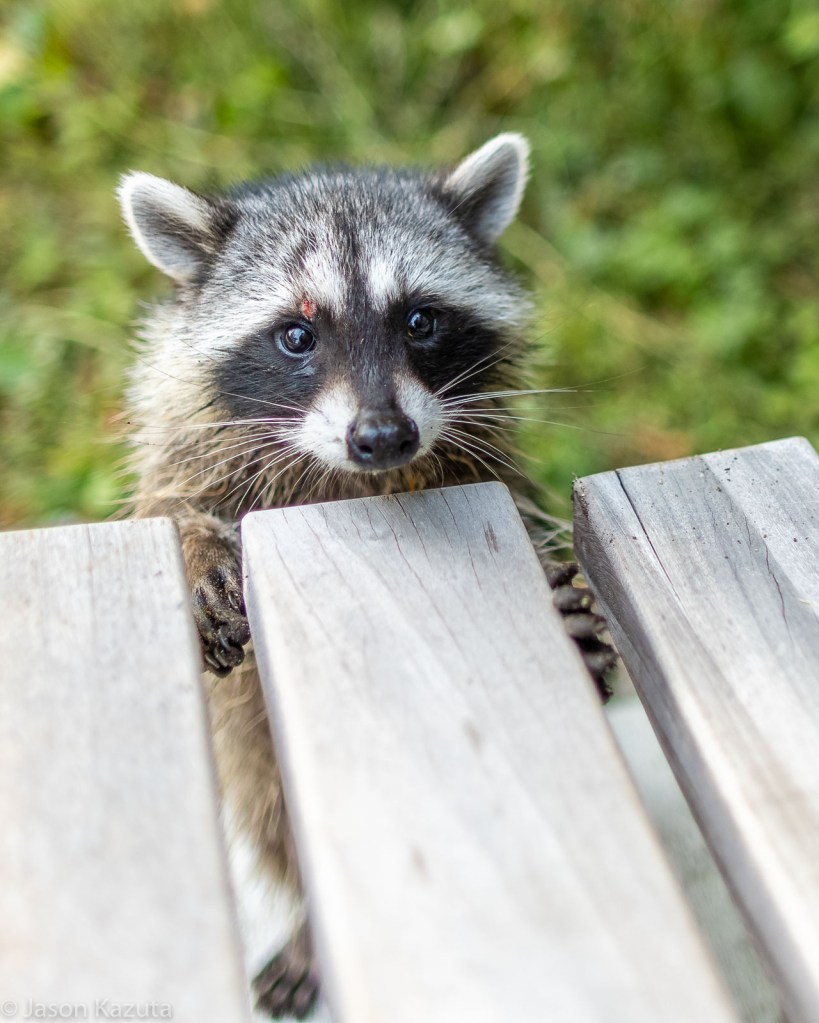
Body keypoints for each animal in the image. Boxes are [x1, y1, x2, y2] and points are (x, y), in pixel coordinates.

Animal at [117, 134, 615, 1020]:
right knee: (270, 814)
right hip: (253, 761)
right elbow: (168, 505)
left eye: (419, 319)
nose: (382, 435)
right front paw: (196, 552)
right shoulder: (184, 433)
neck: (347, 479)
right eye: (295, 335)